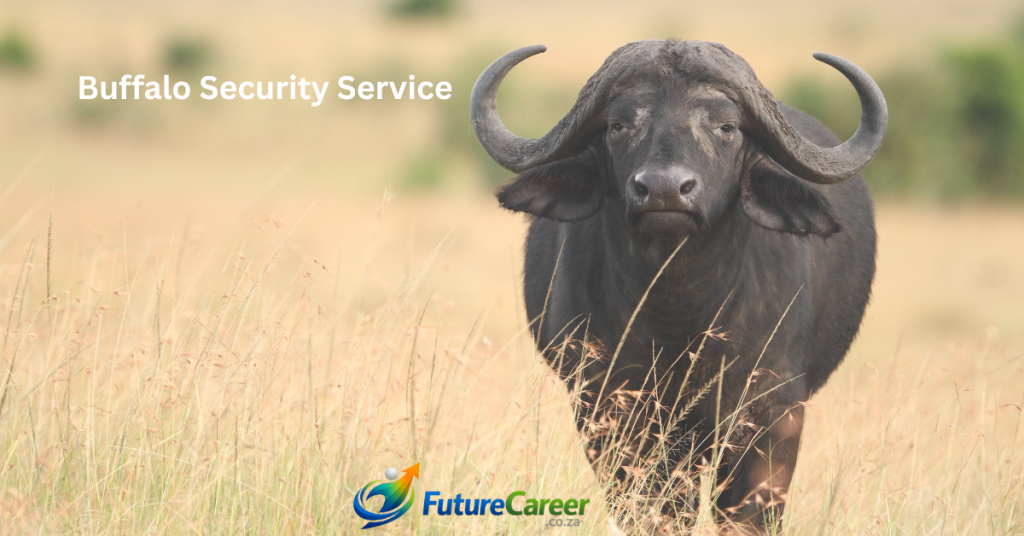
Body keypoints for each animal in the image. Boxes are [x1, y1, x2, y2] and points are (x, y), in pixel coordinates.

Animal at [471, 40, 885, 533]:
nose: (664, 190)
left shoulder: (772, 414)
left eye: (726, 126)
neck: (679, 316)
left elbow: (748, 513)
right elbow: (652, 508)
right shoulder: (607, 411)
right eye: (619, 125)